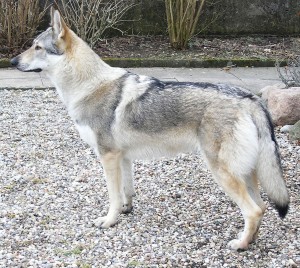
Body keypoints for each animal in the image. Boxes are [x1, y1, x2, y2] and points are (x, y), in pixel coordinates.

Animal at [10, 8, 290, 251]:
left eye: (37, 47)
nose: (12, 61)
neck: (89, 86)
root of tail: (250, 98)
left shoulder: (108, 157)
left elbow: (112, 195)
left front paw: (109, 221)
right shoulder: (123, 157)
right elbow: (127, 191)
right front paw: (126, 210)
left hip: (223, 173)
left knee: (254, 210)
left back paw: (240, 245)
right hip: (246, 173)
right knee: (263, 207)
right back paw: (251, 240)